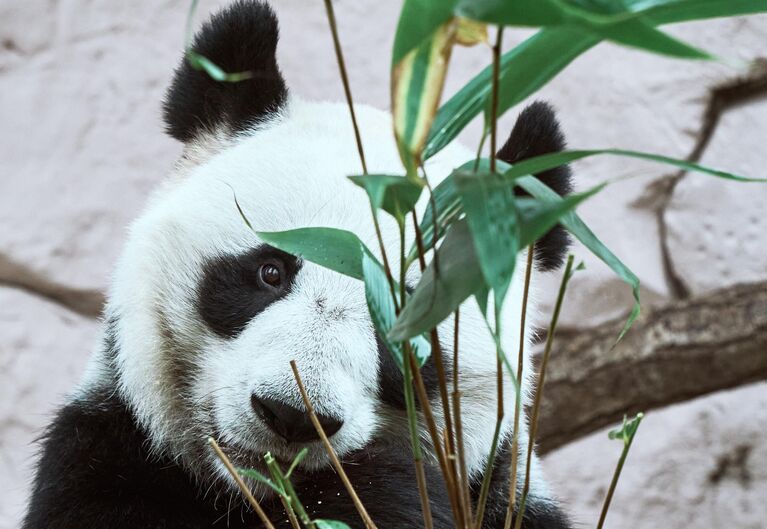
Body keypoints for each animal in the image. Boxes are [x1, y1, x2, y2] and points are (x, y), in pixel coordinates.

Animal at [22, 2, 576, 524]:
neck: (259, 496)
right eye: (271, 270)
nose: (290, 414)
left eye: (407, 315)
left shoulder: (507, 494)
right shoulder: (109, 454)